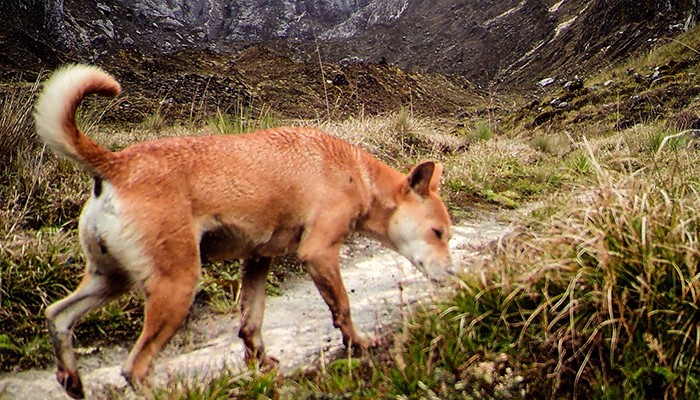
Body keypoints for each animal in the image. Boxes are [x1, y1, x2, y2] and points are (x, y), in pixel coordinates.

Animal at [35, 64, 456, 398]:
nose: (454, 275)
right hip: (176, 287)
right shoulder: (319, 253)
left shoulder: (257, 261)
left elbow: (251, 324)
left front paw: (261, 365)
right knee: (134, 368)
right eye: (438, 233)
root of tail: (116, 164)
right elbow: (343, 308)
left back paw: (71, 378)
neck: (358, 174)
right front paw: (360, 343)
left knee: (58, 316)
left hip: (110, 280)